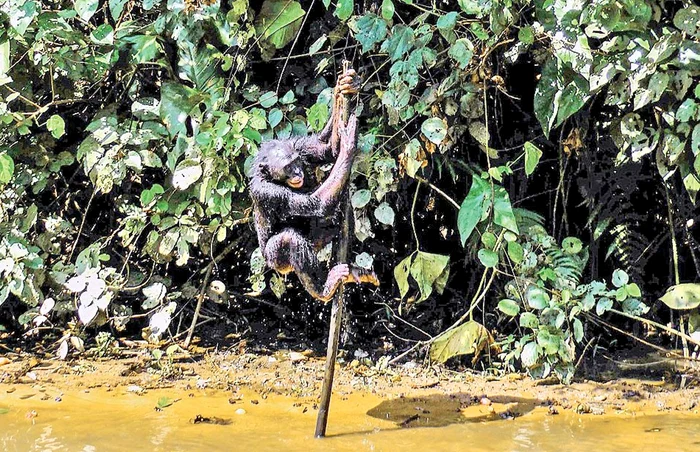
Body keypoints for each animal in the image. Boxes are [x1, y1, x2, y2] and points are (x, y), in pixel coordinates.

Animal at [246, 69, 378, 302]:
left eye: (296, 162)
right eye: (288, 167)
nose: (297, 172)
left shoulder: (299, 146)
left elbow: (327, 149)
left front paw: (345, 86)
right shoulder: (269, 192)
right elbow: (315, 203)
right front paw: (349, 143)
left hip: (316, 241)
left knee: (338, 213)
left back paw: (350, 268)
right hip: (276, 261)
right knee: (289, 240)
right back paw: (324, 288)